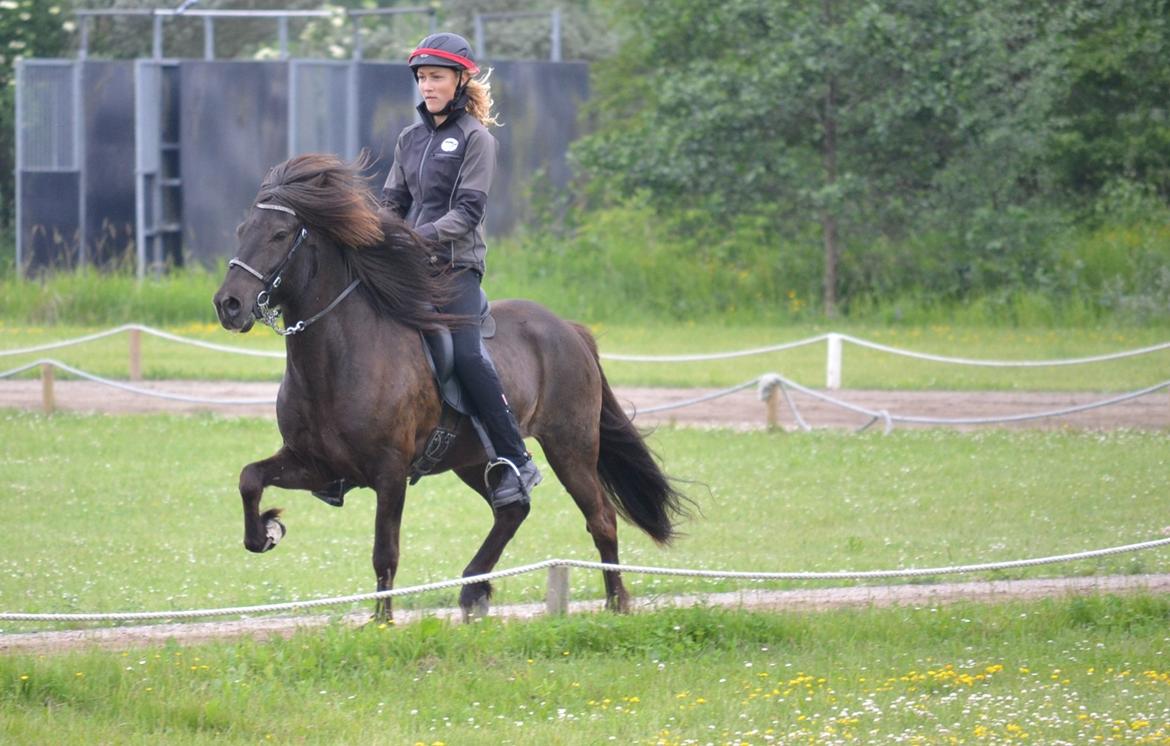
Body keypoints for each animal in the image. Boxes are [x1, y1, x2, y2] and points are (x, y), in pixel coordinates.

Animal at [212, 152, 683, 617]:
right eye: (241, 231)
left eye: (279, 234)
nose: (228, 305)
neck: (338, 358)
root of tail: (569, 330)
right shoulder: (315, 463)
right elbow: (250, 478)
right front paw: (268, 530)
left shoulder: (389, 472)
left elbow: (385, 552)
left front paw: (382, 622)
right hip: (474, 459)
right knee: (512, 510)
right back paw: (474, 590)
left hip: (571, 446)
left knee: (600, 518)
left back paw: (615, 602)